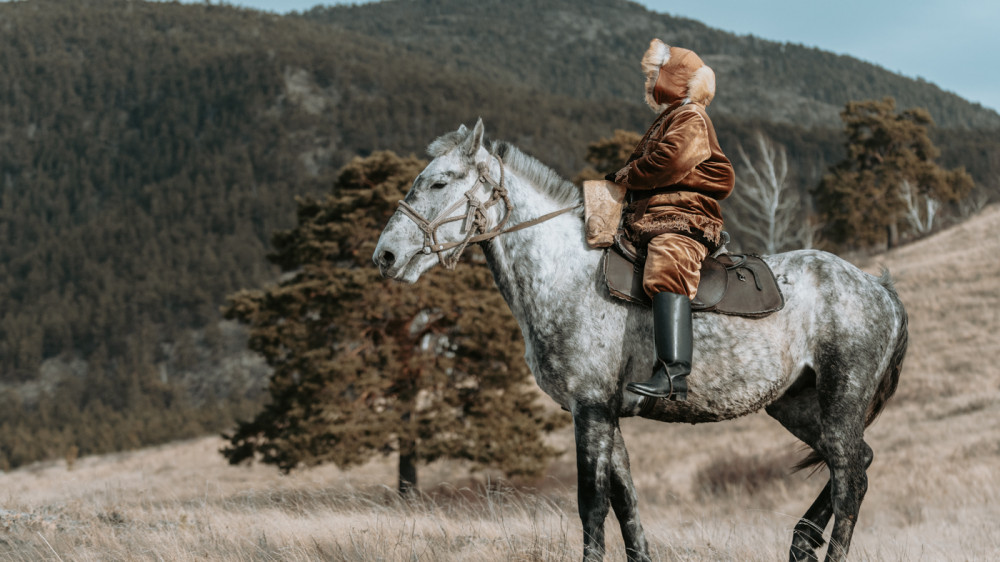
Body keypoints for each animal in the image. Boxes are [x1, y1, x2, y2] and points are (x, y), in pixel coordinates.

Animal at [374, 119, 908, 560]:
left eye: (439, 182)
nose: (385, 256)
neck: (565, 273)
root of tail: (877, 287)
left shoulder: (590, 410)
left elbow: (592, 505)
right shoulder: (606, 414)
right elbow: (626, 503)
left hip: (840, 399)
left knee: (849, 479)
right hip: (794, 405)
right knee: (855, 462)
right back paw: (800, 541)